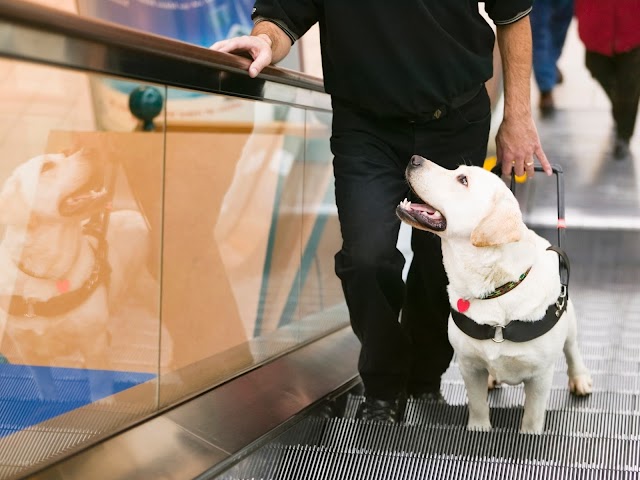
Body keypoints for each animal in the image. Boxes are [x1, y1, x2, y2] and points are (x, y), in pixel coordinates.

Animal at [0, 150, 149, 368]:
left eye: (65, 153)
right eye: (46, 167)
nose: (93, 149)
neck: (49, 268)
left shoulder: (94, 346)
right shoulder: (29, 352)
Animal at [398, 156, 592, 434]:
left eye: (463, 180)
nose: (414, 159)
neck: (496, 289)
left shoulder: (540, 376)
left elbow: (532, 417)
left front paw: (529, 435)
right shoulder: (469, 366)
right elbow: (478, 405)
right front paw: (479, 430)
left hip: (570, 320)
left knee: (572, 349)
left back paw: (580, 378)